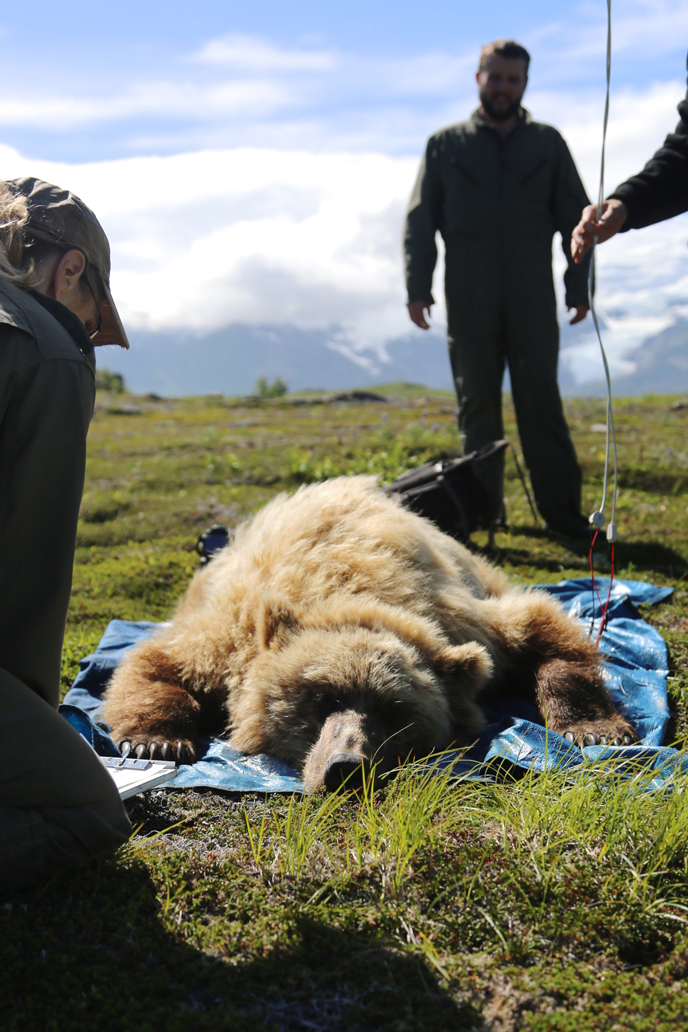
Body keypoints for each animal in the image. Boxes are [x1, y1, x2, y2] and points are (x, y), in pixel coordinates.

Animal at [99, 474, 639, 788]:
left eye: (395, 709)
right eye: (320, 698)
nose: (345, 768)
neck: (351, 593)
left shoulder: (467, 621)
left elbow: (542, 630)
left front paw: (595, 727)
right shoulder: (230, 633)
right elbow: (159, 662)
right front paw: (156, 741)